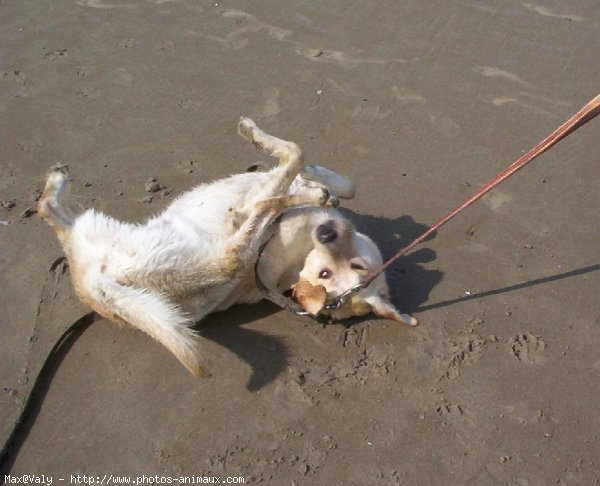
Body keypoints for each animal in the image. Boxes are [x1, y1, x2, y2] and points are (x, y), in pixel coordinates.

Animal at [38, 117, 418, 376]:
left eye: (352, 269)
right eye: (331, 272)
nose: (325, 234)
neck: (298, 261)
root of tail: (100, 291)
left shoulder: (260, 207)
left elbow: (292, 159)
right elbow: (345, 183)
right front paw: (317, 179)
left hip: (224, 258)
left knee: (267, 203)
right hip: (93, 232)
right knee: (49, 210)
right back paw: (57, 179)